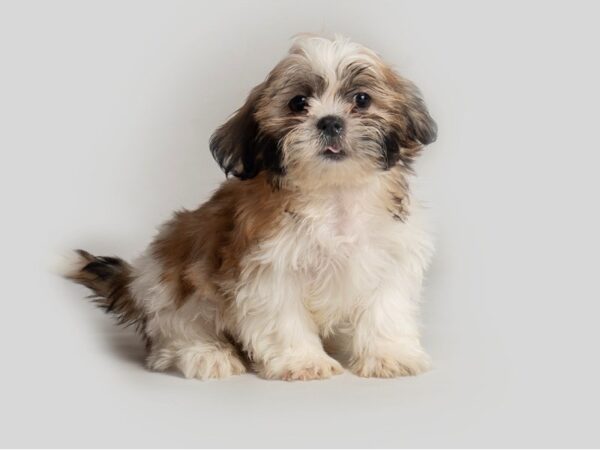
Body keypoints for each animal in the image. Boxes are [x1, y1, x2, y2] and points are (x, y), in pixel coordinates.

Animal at [68, 35, 438, 380]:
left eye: (361, 99)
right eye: (298, 103)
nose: (330, 121)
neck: (334, 192)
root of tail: (135, 281)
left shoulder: (390, 256)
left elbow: (385, 308)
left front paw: (389, 355)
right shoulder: (270, 267)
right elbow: (284, 316)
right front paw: (303, 360)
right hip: (168, 283)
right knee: (175, 331)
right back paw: (207, 354)